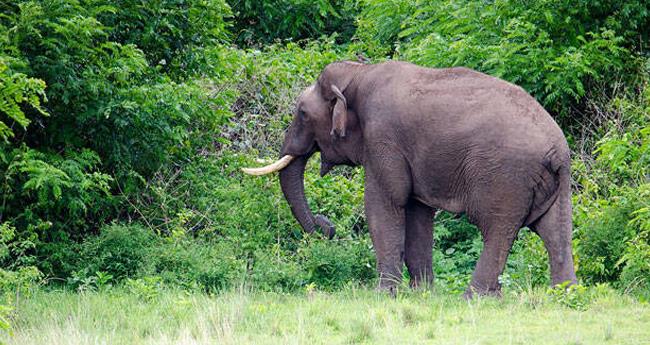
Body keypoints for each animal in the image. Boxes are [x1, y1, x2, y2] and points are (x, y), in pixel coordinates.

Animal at [243, 61, 576, 296]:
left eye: (301, 113)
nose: (328, 228)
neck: (359, 73)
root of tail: (557, 149)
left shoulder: (383, 139)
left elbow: (383, 204)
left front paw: (383, 295)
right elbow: (417, 212)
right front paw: (422, 294)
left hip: (504, 177)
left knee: (497, 230)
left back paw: (475, 298)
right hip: (555, 182)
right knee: (555, 232)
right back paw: (563, 296)